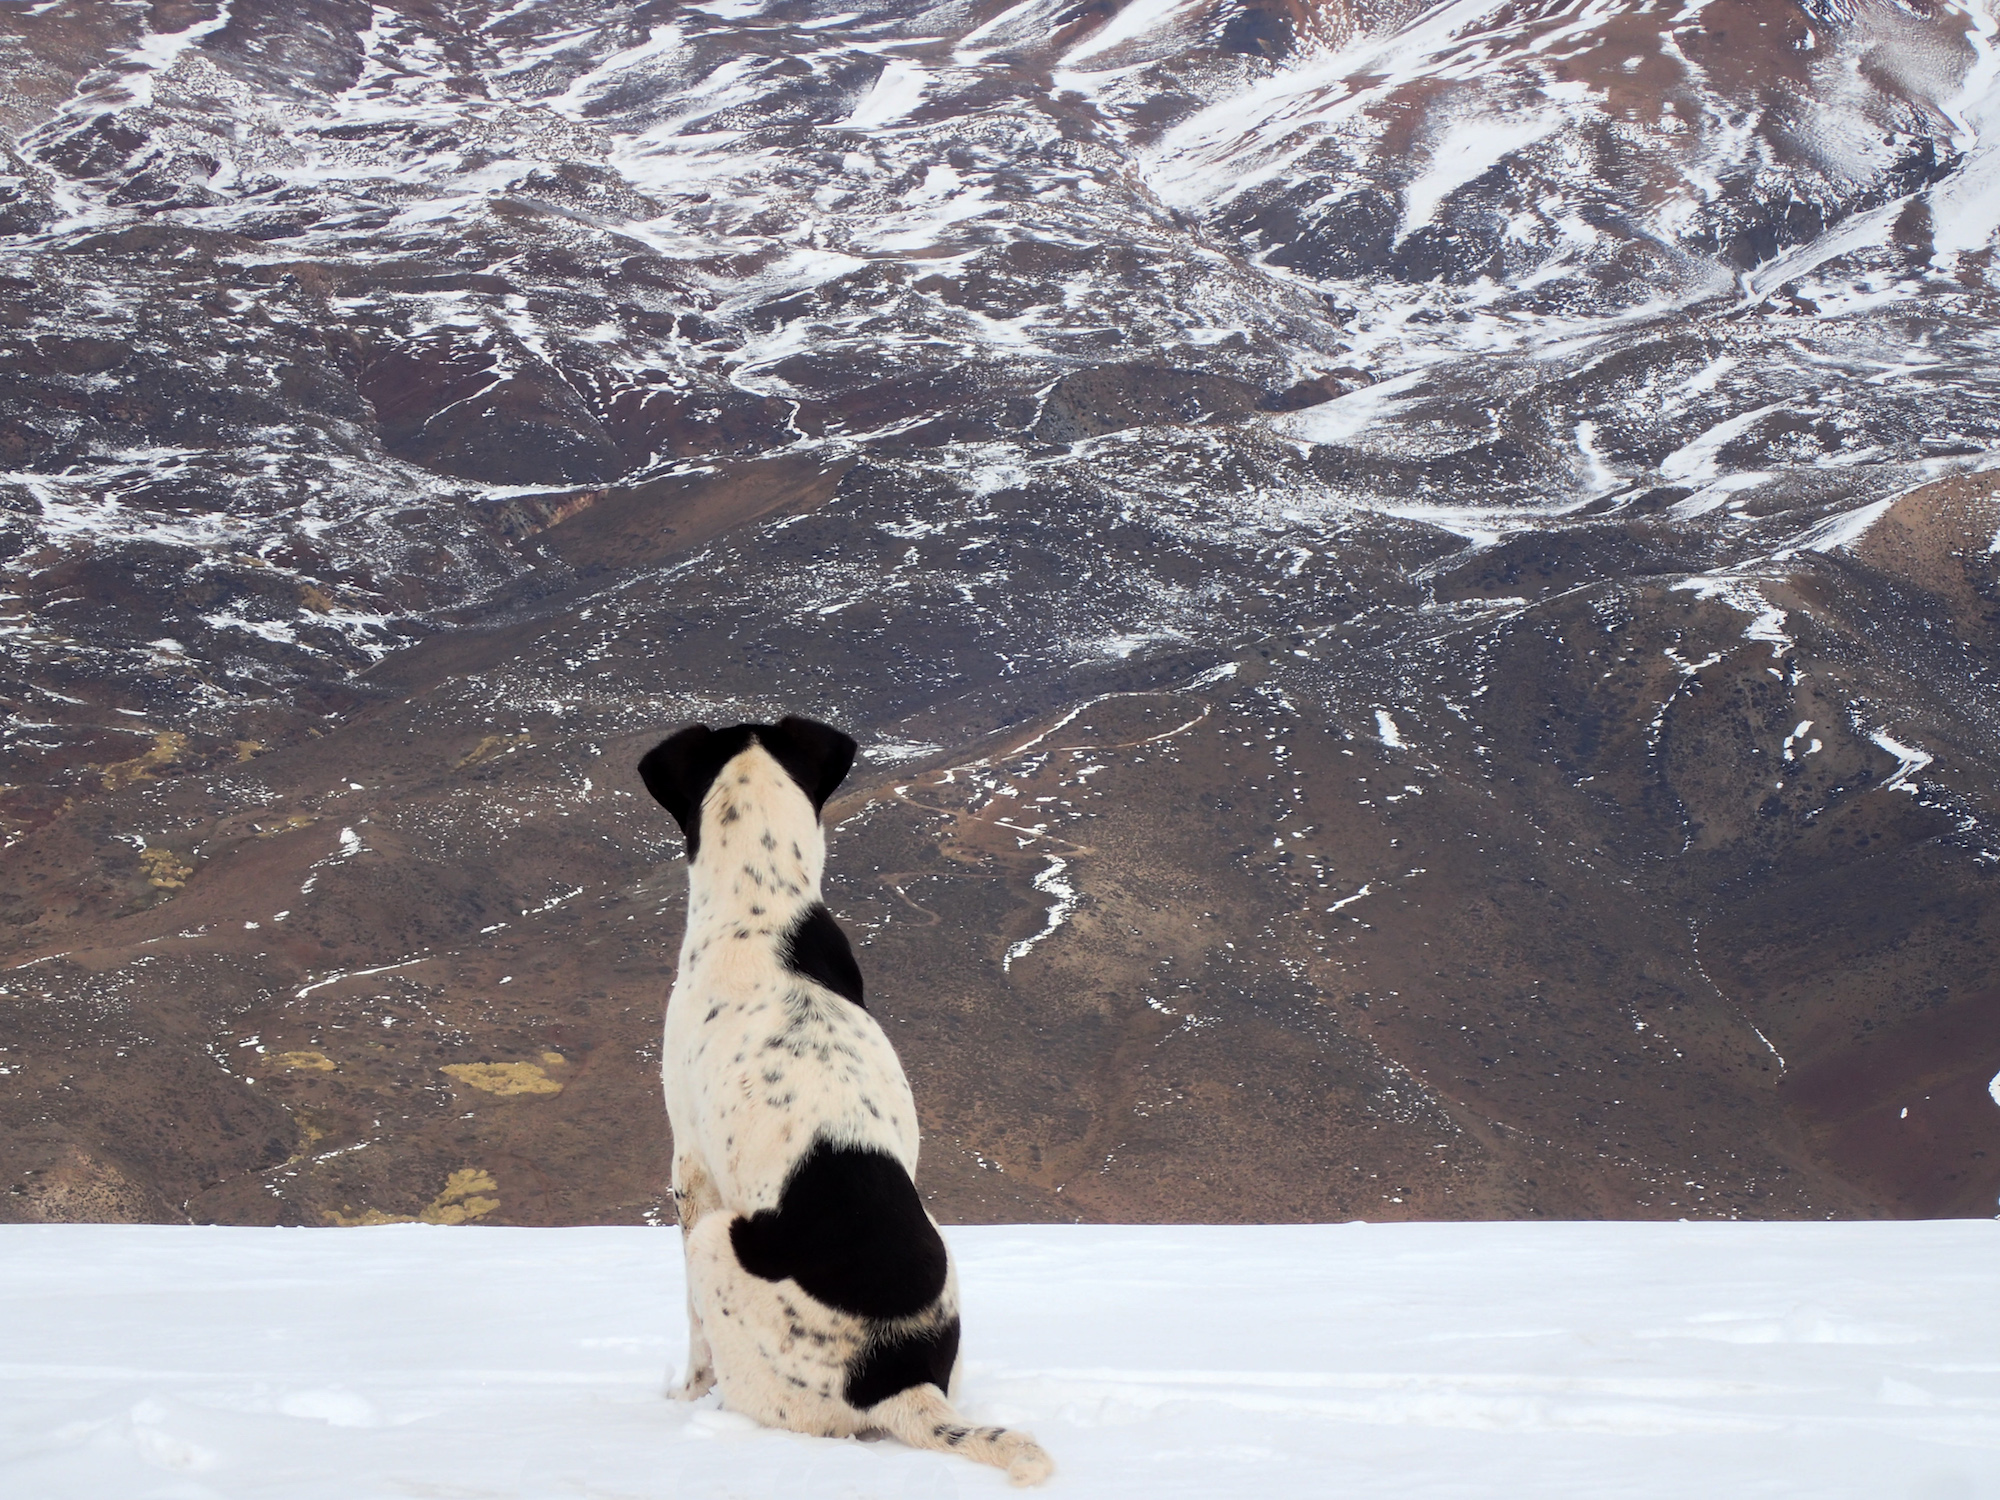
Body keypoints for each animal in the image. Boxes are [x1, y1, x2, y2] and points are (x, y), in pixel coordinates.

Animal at [640, 720, 1056, 1496]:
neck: (761, 913)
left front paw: (680, 1396)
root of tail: (895, 1380)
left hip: (716, 1240)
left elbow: (691, 1336)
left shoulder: (690, 1171)